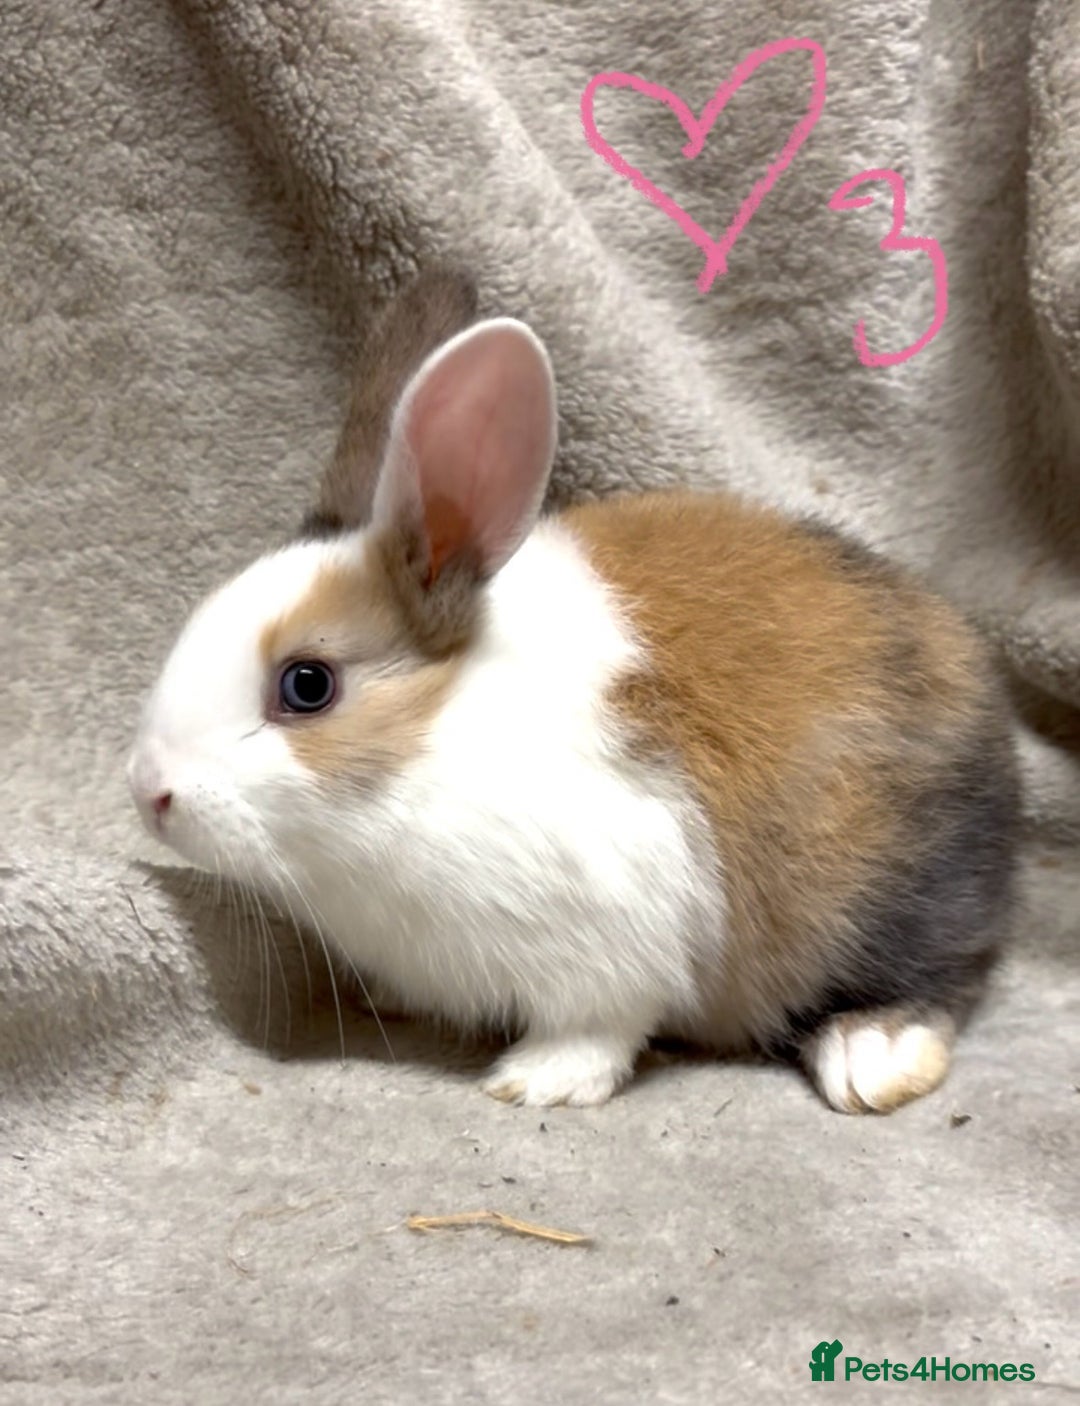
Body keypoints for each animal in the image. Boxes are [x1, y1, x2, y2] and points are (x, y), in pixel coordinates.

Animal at [128, 270, 1020, 1112]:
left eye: (307, 686)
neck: (431, 747)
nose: (151, 793)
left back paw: (871, 1055)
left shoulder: (615, 938)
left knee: (944, 971)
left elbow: (599, 1026)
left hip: (886, 895)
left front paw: (538, 1084)